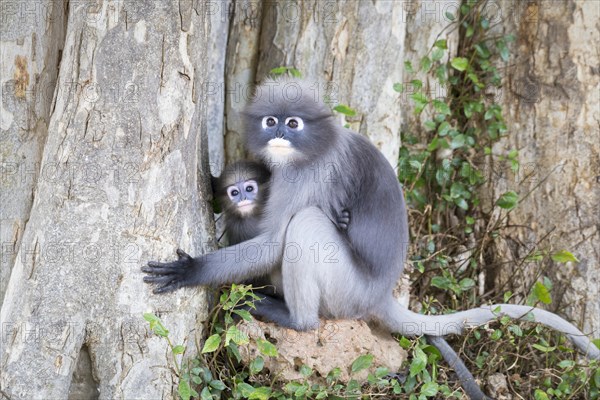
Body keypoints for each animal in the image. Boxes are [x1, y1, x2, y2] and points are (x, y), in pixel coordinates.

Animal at [145, 77, 600, 394]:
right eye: (271, 121)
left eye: (293, 123)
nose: (279, 135)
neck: (317, 145)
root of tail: (380, 294)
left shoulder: (309, 174)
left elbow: (275, 241)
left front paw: (191, 270)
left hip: (346, 291)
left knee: (306, 225)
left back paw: (293, 318)